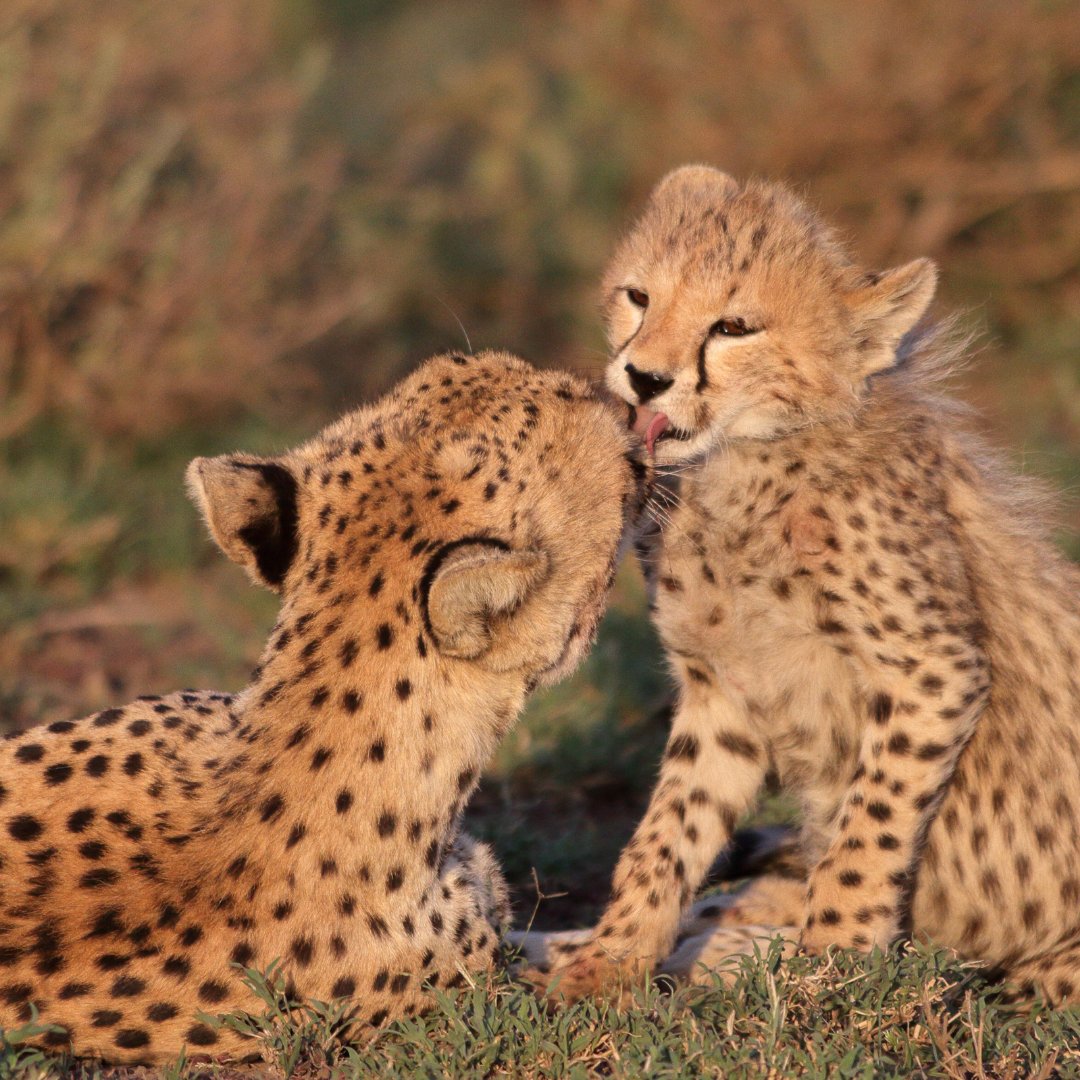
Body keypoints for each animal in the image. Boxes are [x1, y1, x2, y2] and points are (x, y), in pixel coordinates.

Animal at [517, 165, 1080, 1006]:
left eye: (734, 327)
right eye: (639, 296)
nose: (644, 378)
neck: (741, 469)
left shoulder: (935, 671)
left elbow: (867, 830)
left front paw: (833, 960)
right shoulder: (723, 689)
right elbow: (669, 831)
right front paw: (609, 961)